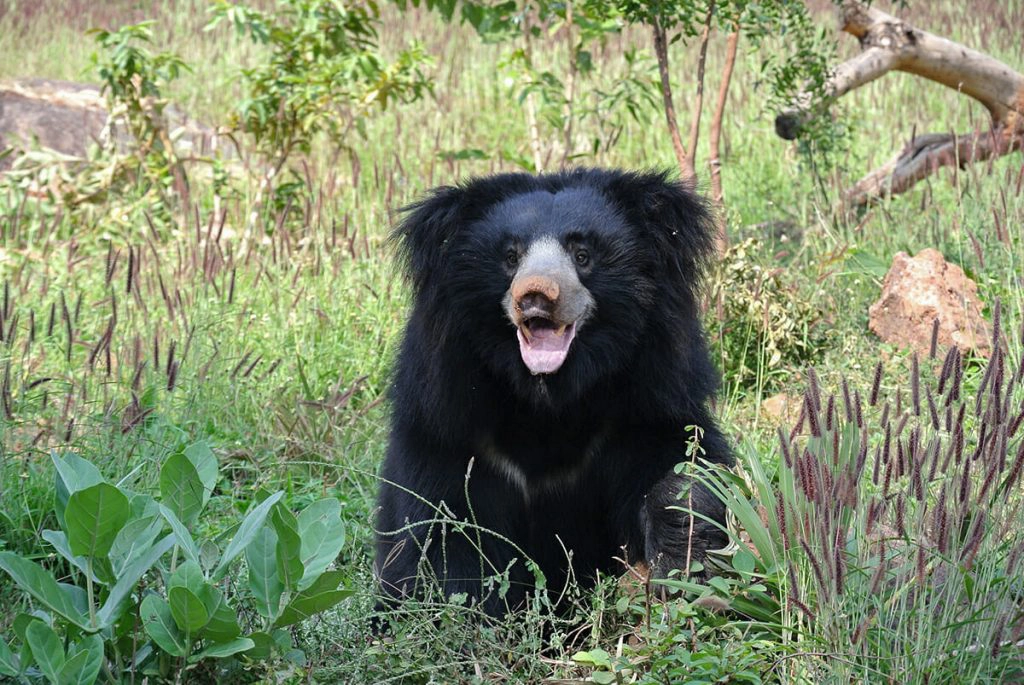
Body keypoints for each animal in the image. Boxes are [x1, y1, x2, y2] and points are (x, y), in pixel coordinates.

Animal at [375, 168, 732, 617]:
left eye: (582, 255)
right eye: (511, 257)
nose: (535, 295)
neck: (548, 397)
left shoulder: (648, 397)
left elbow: (681, 461)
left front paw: (682, 553)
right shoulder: (446, 419)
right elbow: (442, 529)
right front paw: (465, 613)